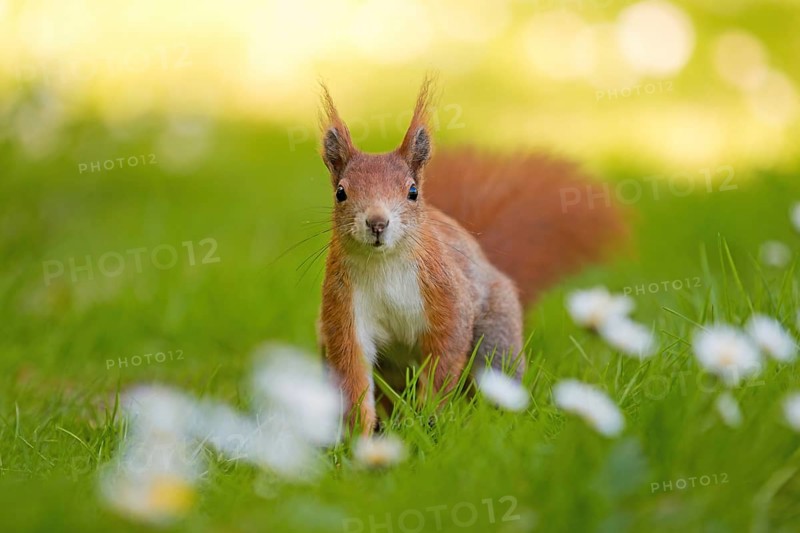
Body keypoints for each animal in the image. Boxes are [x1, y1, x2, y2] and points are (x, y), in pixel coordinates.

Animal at [317, 78, 624, 433]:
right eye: (341, 193)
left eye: (413, 192)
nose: (377, 223)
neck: (384, 263)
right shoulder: (344, 309)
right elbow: (353, 371)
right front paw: (360, 435)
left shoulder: (446, 296)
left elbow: (446, 354)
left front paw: (429, 417)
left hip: (497, 337)